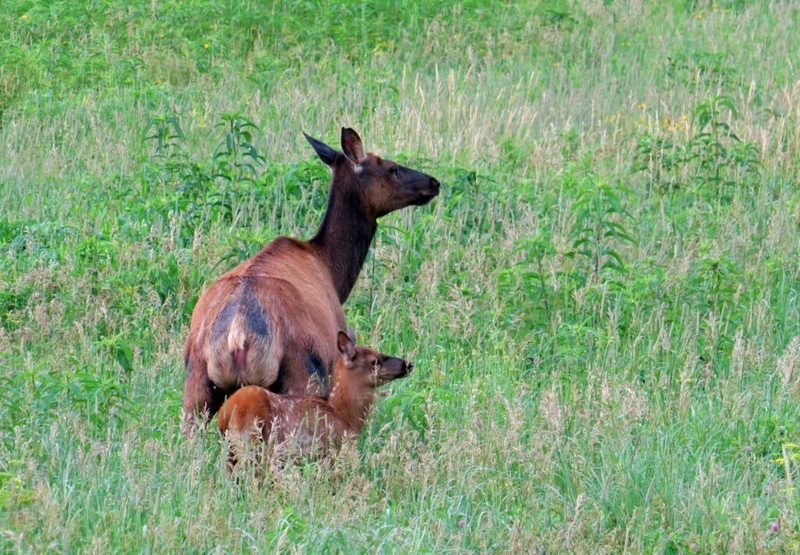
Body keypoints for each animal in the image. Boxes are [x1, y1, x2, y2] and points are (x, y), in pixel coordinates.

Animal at [182, 127, 439, 435]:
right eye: (391, 168)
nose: (434, 182)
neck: (331, 268)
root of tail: (238, 332)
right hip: (302, 372)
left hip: (196, 381)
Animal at [218, 330, 413, 465]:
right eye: (375, 361)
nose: (408, 364)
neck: (343, 414)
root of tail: (224, 415)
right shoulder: (331, 448)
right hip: (254, 442)